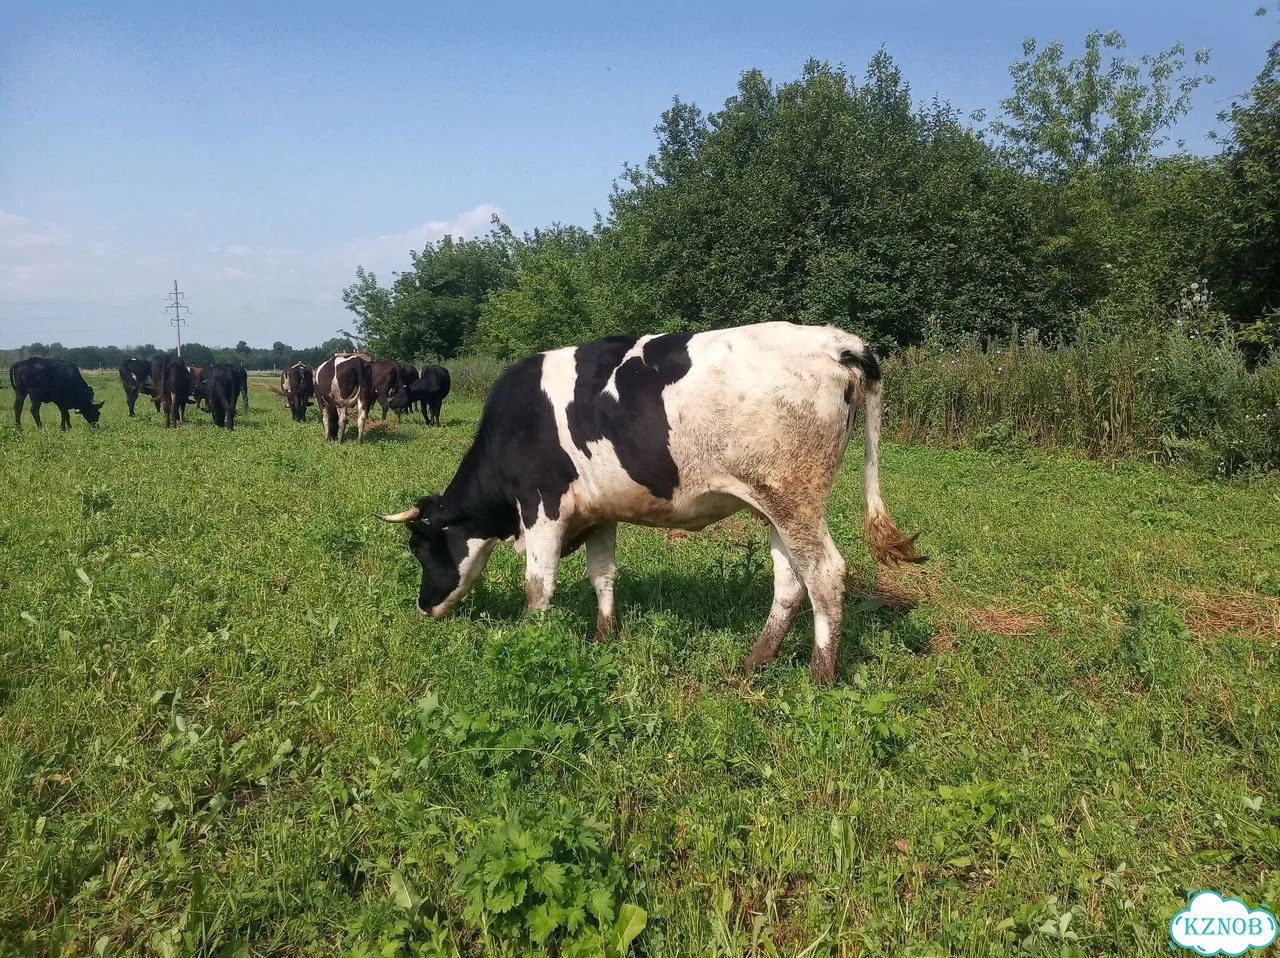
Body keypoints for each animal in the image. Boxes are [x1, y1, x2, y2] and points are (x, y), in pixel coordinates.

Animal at [376, 323, 921, 684]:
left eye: (419, 548)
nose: (423, 607)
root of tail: (835, 341)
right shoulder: (599, 513)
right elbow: (603, 575)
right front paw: (605, 637)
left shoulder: (542, 507)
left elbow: (538, 585)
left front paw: (530, 641)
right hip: (775, 505)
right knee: (790, 579)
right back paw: (755, 661)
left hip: (795, 499)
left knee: (825, 575)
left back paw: (820, 676)